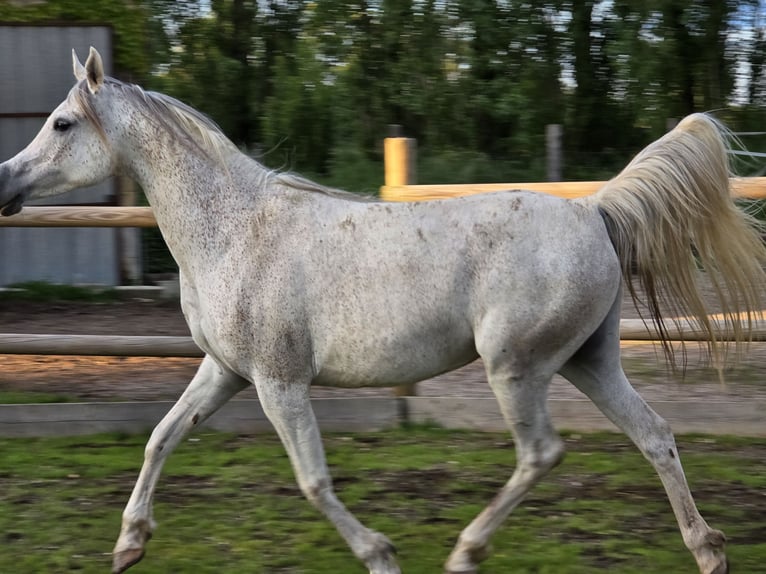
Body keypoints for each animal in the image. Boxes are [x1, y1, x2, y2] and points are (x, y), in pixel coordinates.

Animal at [1, 47, 763, 574]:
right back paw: (709, 550)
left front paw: (381, 554)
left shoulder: (279, 383)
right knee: (655, 434)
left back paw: (464, 552)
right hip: (589, 360)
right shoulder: (224, 371)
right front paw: (128, 545)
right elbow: (161, 437)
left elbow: (312, 480)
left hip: (517, 368)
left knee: (543, 451)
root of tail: (592, 209)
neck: (235, 230)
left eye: (61, 122)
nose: (4, 181)